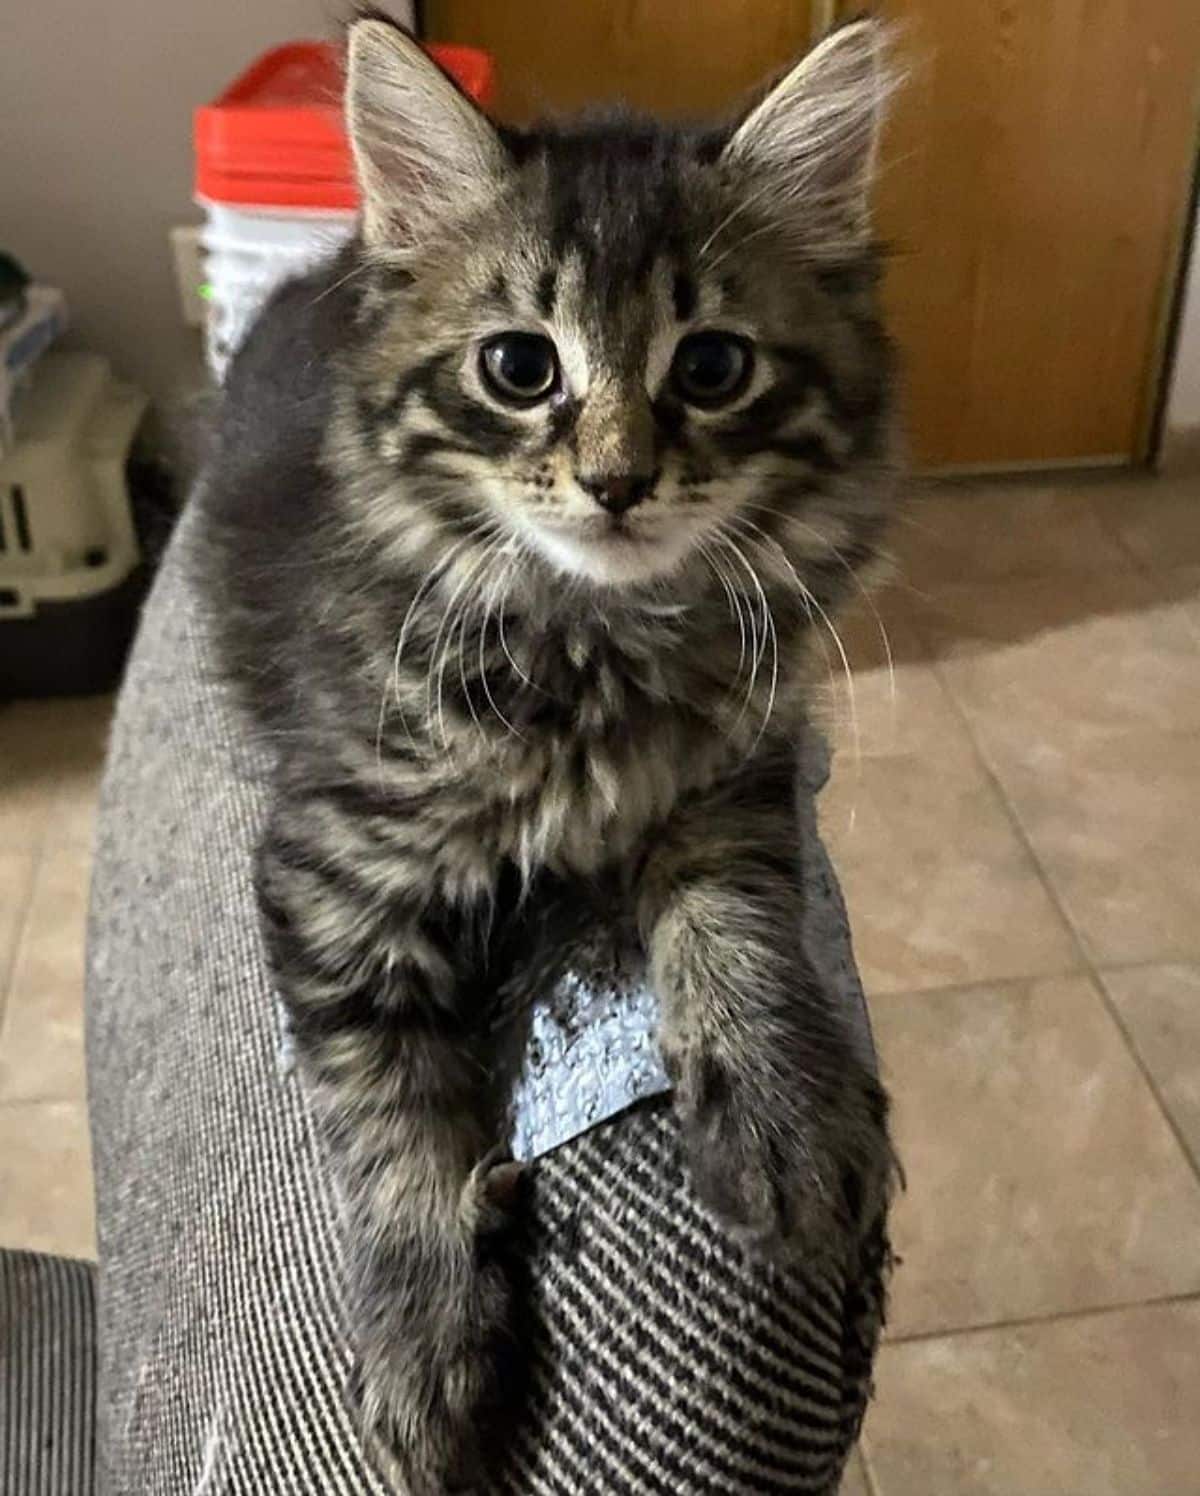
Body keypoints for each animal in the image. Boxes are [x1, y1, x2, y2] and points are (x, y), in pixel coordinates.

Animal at [200, 14, 897, 1496]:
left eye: (712, 367)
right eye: (521, 368)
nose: (619, 482)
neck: (595, 647)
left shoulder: (736, 773)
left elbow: (741, 928)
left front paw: (782, 1111)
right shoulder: (329, 869)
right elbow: (389, 1104)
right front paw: (422, 1331)